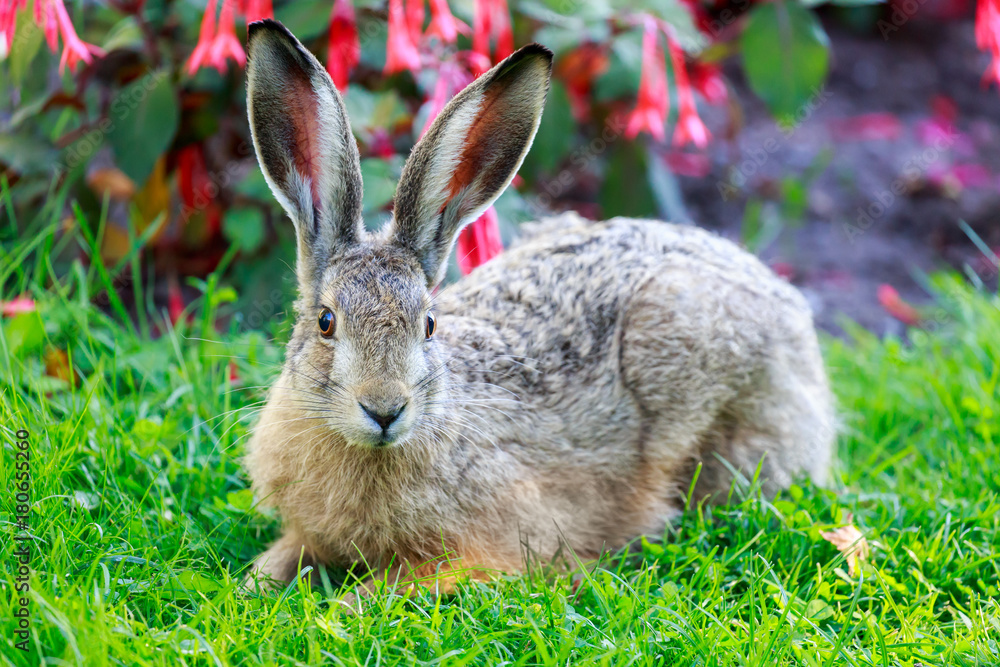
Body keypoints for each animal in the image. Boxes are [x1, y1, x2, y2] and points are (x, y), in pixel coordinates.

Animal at [242, 19, 834, 594]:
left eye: (428, 325)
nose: (385, 410)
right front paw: (259, 583)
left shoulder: (489, 547)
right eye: (326, 322)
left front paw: (339, 605)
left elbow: (381, 593)